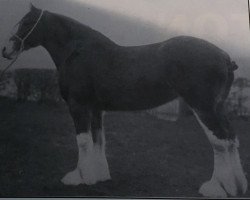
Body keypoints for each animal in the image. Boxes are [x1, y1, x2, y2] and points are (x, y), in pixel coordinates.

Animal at [1, 4, 248, 197]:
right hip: (217, 107)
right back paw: (236, 186)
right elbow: (98, 140)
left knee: (220, 142)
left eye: (26, 23)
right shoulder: (96, 109)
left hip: (203, 107)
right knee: (231, 139)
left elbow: (83, 141)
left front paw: (79, 177)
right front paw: (98, 175)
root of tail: (224, 57)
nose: (6, 49)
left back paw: (215, 188)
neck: (79, 51)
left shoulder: (78, 106)